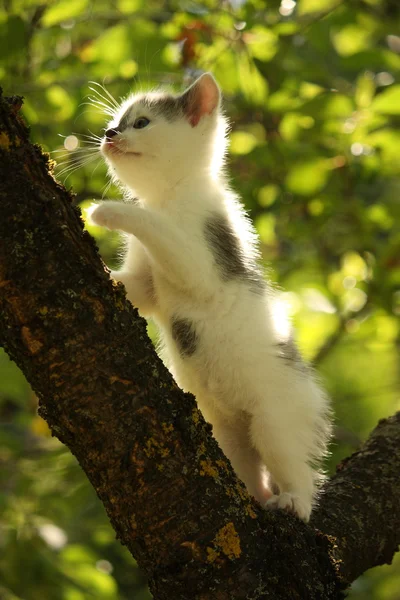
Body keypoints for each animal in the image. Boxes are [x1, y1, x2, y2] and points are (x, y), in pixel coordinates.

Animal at [89, 71, 332, 520]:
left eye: (141, 123)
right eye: (115, 122)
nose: (110, 134)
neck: (170, 195)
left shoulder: (204, 257)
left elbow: (165, 237)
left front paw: (106, 210)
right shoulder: (148, 283)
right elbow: (140, 290)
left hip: (275, 419)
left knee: (296, 469)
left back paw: (294, 500)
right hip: (225, 432)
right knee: (248, 467)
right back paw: (259, 496)